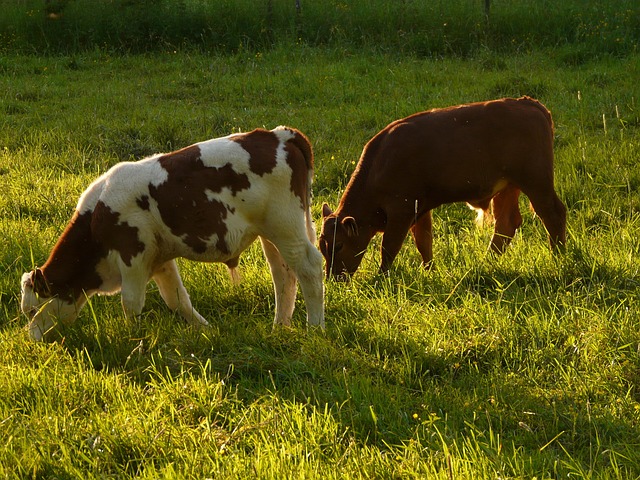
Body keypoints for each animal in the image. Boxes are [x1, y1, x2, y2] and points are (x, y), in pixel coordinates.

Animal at [20, 125, 324, 340]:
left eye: (32, 310)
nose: (32, 339)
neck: (97, 218)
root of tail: (277, 134)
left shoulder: (132, 255)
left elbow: (131, 303)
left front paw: (132, 340)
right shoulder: (159, 261)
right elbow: (178, 300)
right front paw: (206, 331)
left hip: (286, 226)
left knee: (308, 267)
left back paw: (314, 328)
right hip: (272, 233)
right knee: (283, 275)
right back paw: (280, 327)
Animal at [318, 96, 564, 278]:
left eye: (338, 245)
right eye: (322, 246)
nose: (334, 277)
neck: (379, 163)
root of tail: (527, 103)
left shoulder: (401, 211)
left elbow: (389, 247)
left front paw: (381, 276)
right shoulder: (420, 209)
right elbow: (424, 242)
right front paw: (428, 270)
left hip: (536, 182)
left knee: (553, 214)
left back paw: (559, 256)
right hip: (508, 187)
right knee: (506, 224)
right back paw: (487, 261)